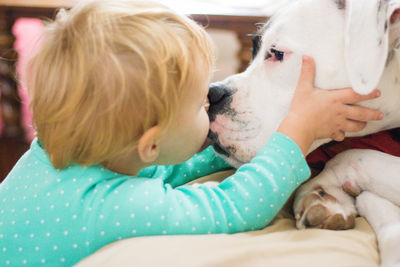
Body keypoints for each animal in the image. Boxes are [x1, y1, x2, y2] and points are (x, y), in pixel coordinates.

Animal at [208, 0, 400, 266]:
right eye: (255, 47)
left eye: (277, 53)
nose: (211, 95)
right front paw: (330, 199)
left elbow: (350, 156)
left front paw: (323, 187)